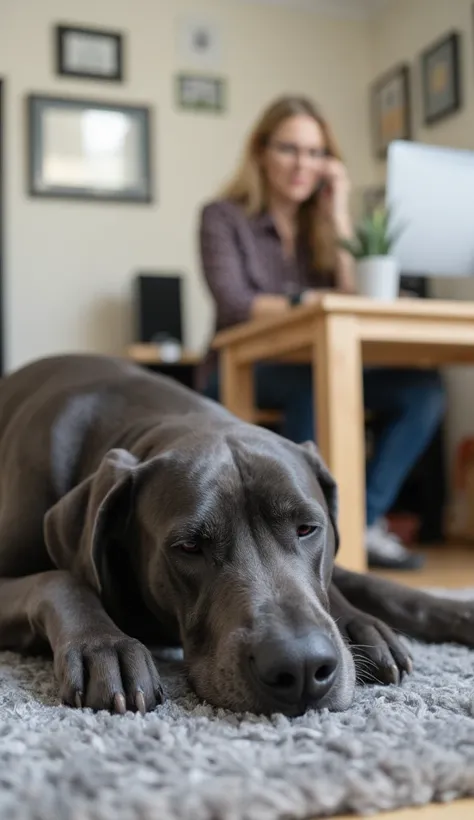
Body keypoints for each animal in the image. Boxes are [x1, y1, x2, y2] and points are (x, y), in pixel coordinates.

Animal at [0, 356, 472, 716]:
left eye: (307, 529)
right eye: (189, 547)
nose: (301, 667)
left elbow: (378, 587)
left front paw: (375, 621)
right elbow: (61, 580)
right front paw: (105, 645)